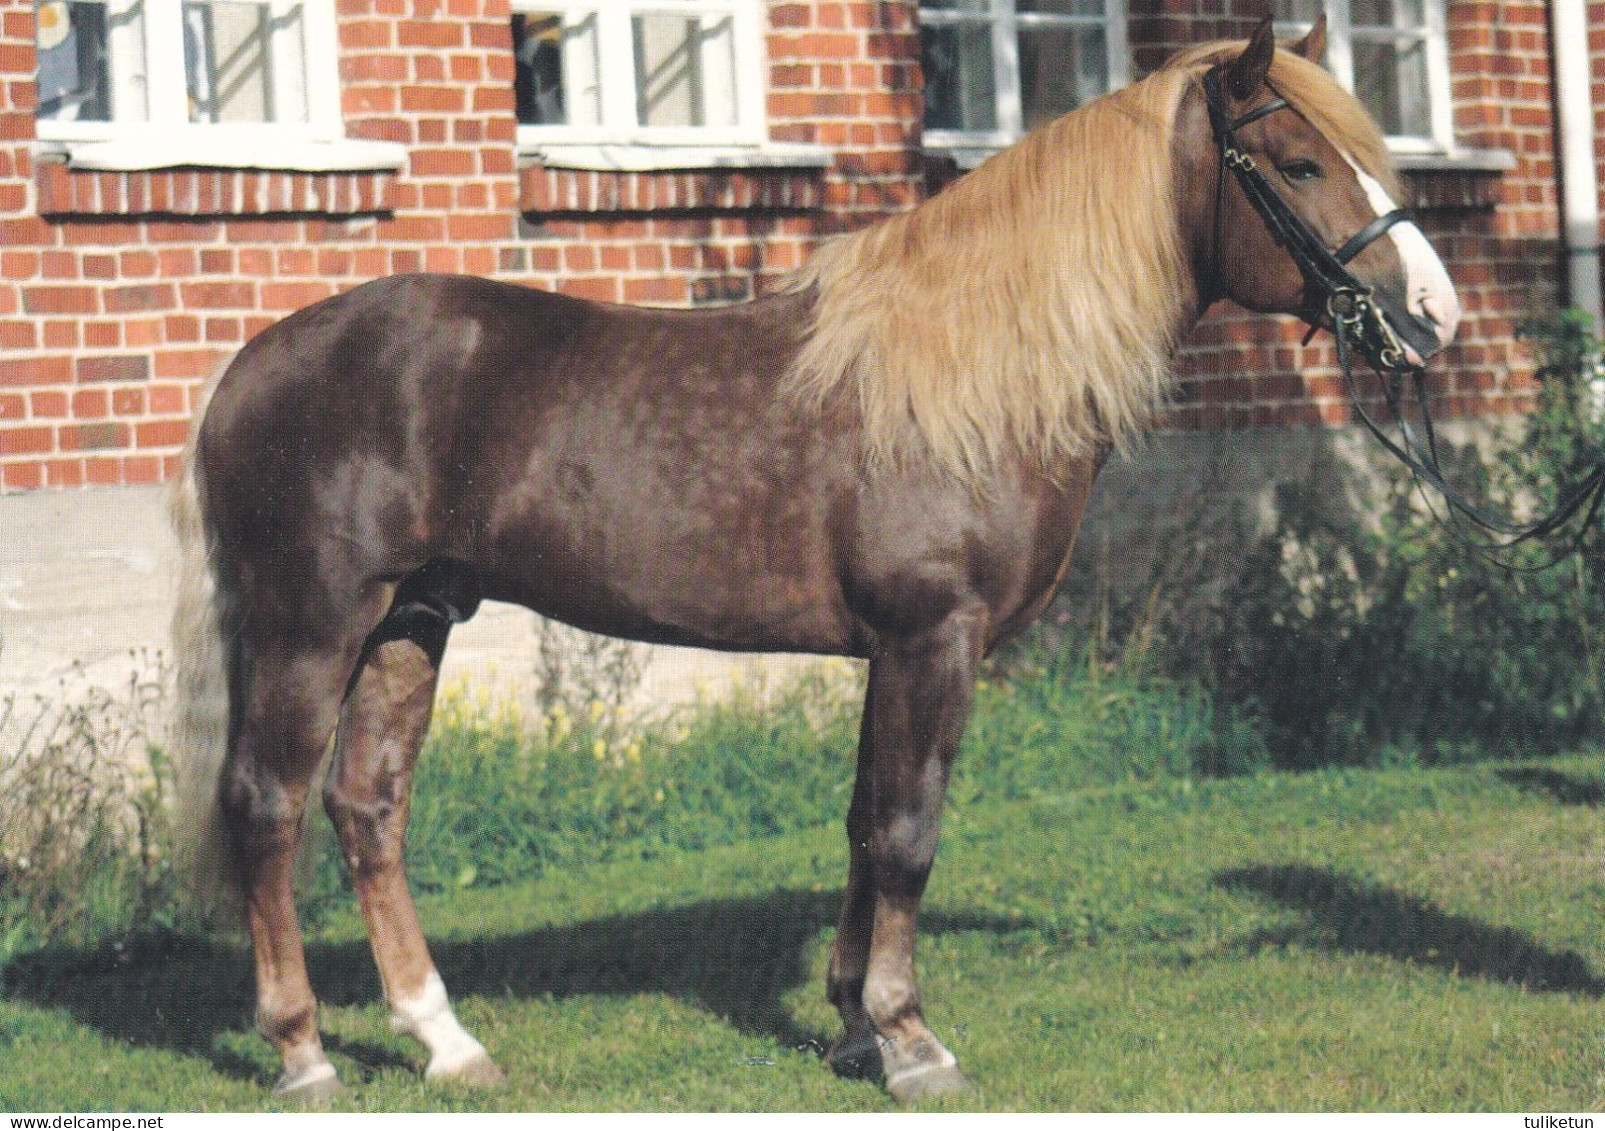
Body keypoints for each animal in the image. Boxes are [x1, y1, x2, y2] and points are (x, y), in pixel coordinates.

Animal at [169, 19, 1463, 1103]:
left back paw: (447, 1042)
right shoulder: (933, 637)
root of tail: (250, 370)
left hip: (412, 621)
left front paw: (850, 1027)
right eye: (1296, 164)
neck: (974, 375)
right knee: (269, 807)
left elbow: (863, 822)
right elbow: (908, 832)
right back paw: (302, 1053)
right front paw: (910, 1040)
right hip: (314, 624)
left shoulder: (890, 653)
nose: (1435, 317)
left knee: (368, 808)